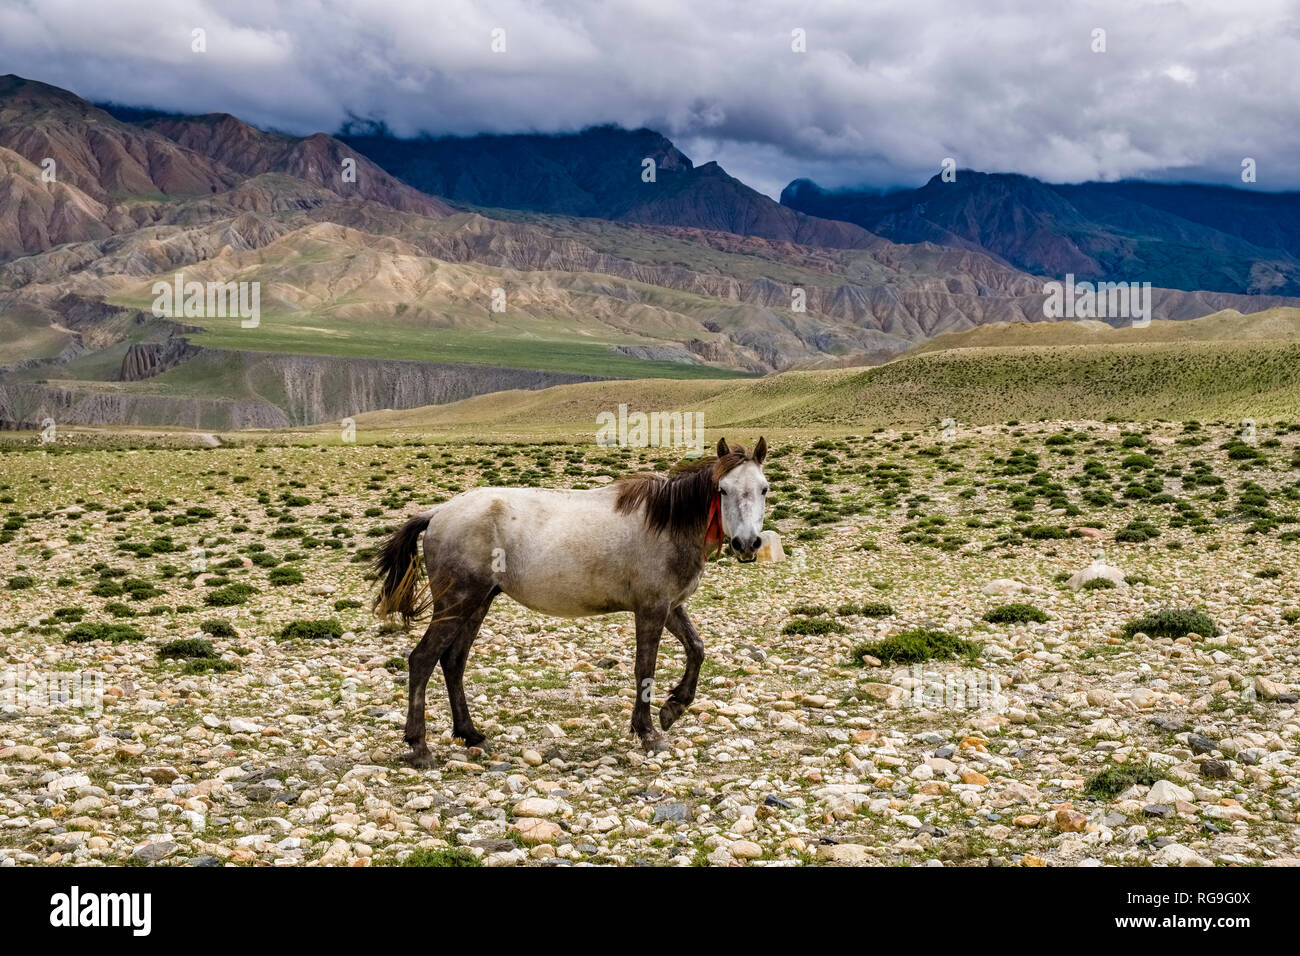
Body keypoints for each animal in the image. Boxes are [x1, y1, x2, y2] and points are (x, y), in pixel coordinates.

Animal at [371, 437, 764, 759]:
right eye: (723, 490)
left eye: (763, 488)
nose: (747, 543)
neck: (668, 523)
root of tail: (438, 513)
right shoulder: (651, 608)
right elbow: (645, 668)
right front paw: (648, 732)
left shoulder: (671, 606)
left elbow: (697, 649)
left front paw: (673, 708)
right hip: (457, 601)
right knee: (423, 659)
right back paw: (419, 745)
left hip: (478, 601)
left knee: (453, 661)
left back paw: (471, 734)